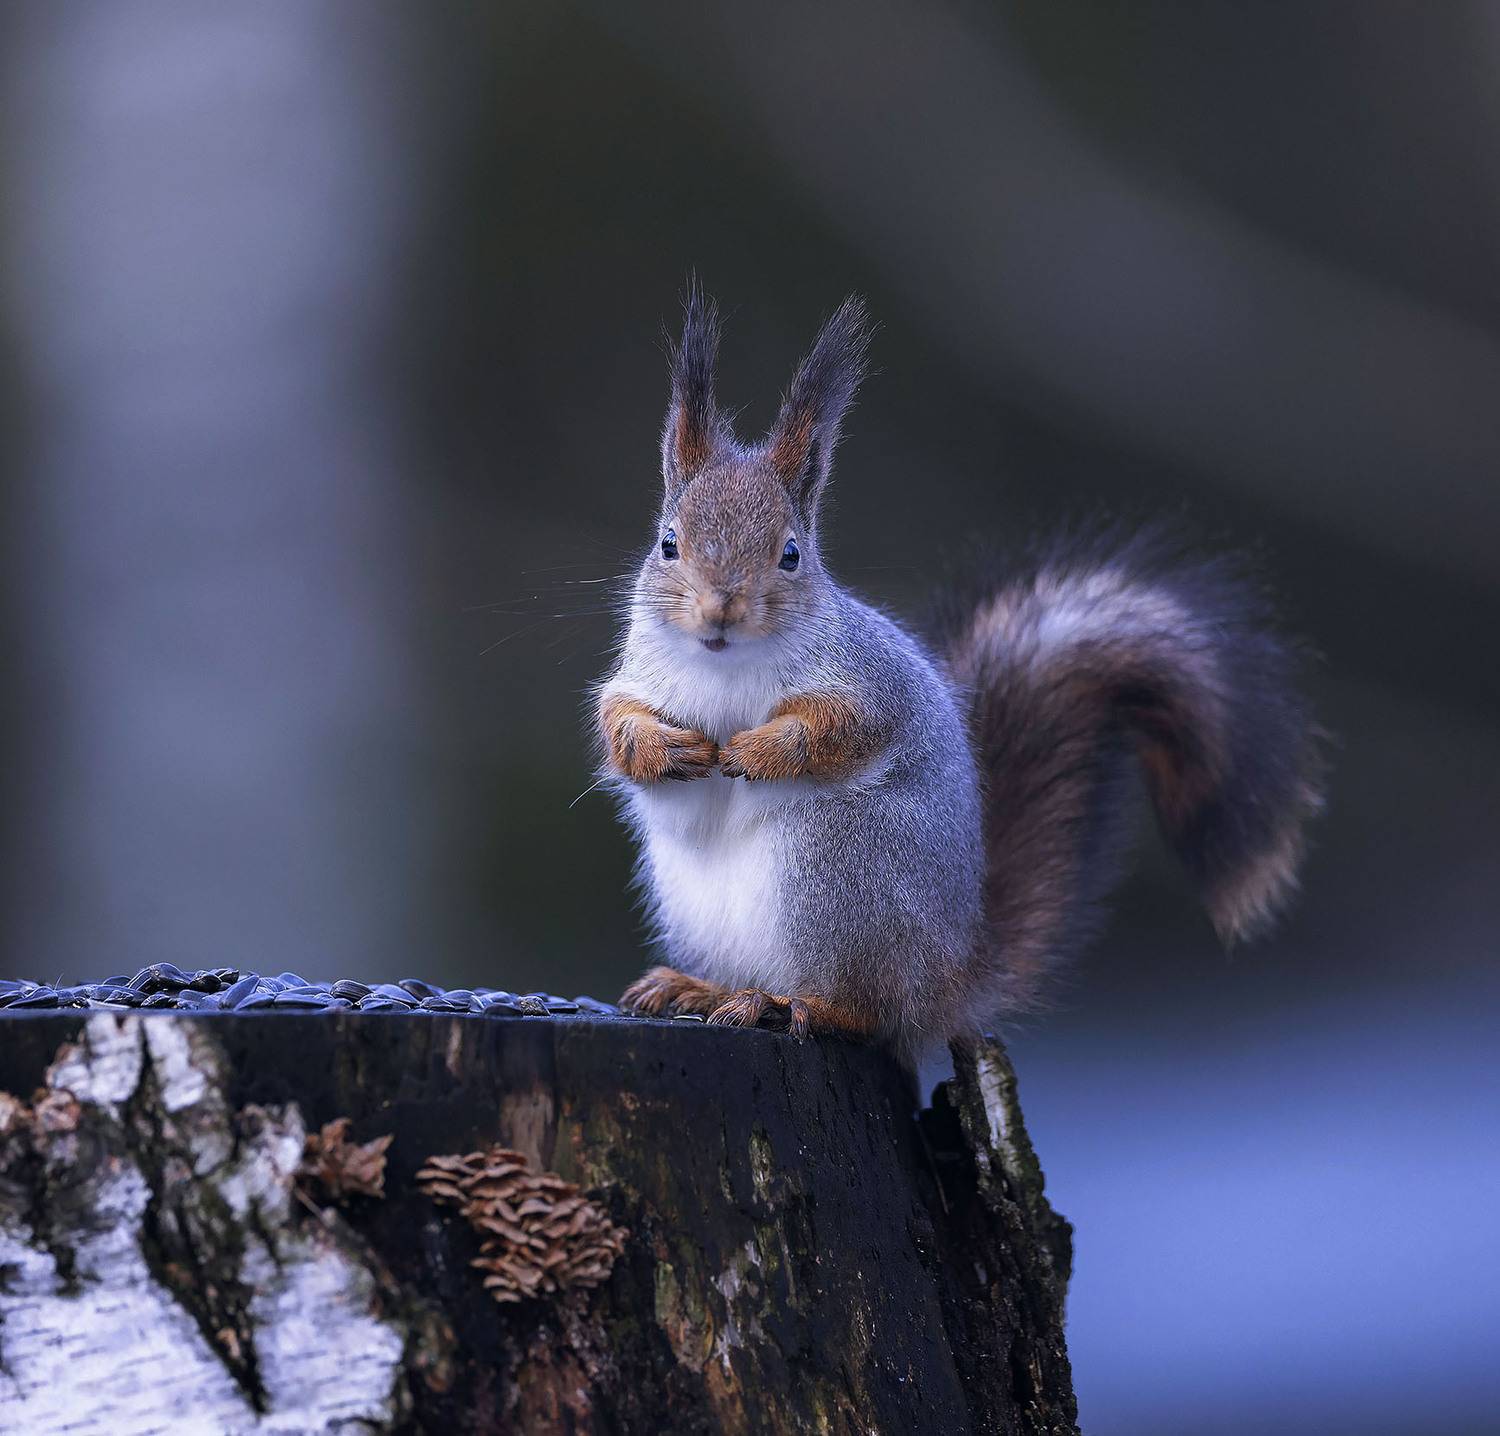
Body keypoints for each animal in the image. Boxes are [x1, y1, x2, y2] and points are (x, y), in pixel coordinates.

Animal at [598, 289, 1325, 1064]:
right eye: (668, 543)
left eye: (791, 554)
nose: (719, 610)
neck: (724, 663)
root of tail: (946, 982)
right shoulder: (638, 674)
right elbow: (617, 722)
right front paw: (661, 748)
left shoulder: (870, 680)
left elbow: (843, 728)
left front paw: (759, 750)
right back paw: (699, 988)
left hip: (835, 868)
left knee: (871, 1011)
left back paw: (795, 1003)